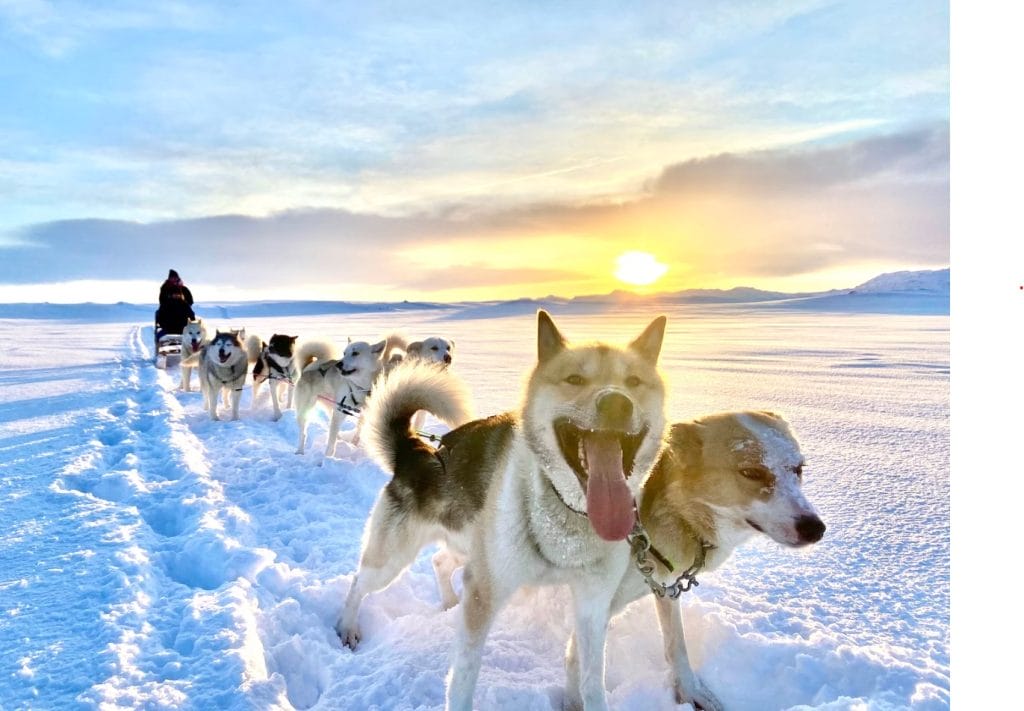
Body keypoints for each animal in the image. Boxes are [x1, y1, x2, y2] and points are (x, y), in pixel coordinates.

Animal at [339, 313, 667, 711]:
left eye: (633, 381)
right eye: (575, 379)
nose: (617, 403)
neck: (567, 517)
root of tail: (413, 450)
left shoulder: (593, 605)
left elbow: (591, 679)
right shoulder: (485, 593)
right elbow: (463, 678)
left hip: (466, 546)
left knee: (439, 562)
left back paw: (449, 602)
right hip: (392, 560)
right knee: (359, 582)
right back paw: (347, 628)